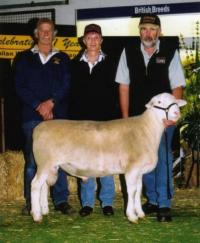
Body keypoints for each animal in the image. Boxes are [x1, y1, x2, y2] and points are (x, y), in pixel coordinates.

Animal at [30, 92, 186, 222]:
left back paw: (44, 210)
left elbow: (138, 190)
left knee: (43, 186)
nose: (176, 112)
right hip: (44, 162)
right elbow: (131, 191)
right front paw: (132, 216)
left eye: (175, 102)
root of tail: (38, 128)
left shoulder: (139, 171)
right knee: (35, 185)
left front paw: (140, 213)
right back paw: (37, 215)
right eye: (158, 102)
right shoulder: (131, 169)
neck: (146, 130)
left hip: (50, 165)